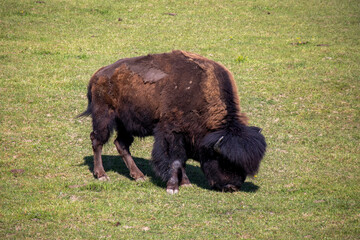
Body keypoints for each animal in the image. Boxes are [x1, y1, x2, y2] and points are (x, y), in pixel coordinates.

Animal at [79, 50, 264, 193]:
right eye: (224, 160)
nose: (232, 187)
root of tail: (97, 75)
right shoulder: (171, 133)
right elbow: (175, 161)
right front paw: (172, 187)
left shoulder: (185, 137)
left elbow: (182, 161)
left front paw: (186, 183)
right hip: (104, 117)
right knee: (97, 140)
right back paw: (102, 175)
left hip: (126, 124)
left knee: (121, 144)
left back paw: (139, 176)